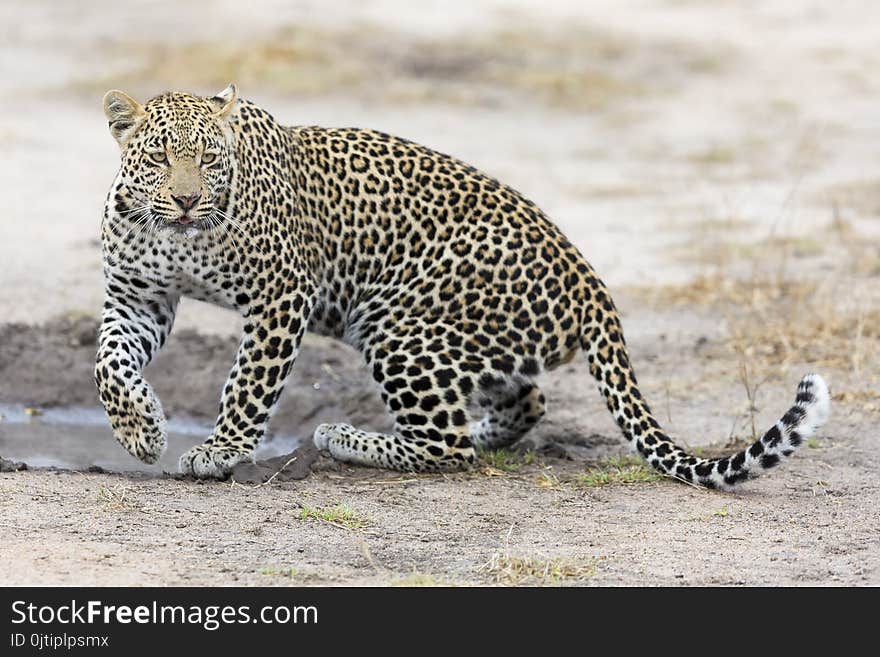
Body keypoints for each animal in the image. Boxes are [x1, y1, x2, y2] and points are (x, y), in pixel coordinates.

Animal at [98, 86, 832, 486]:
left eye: (208, 158)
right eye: (160, 156)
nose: (187, 200)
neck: (177, 235)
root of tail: (590, 279)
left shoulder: (280, 296)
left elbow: (247, 385)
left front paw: (217, 451)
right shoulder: (137, 296)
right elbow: (109, 363)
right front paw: (142, 432)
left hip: (399, 323)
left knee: (444, 445)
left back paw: (346, 438)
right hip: (472, 343)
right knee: (525, 399)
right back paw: (479, 431)